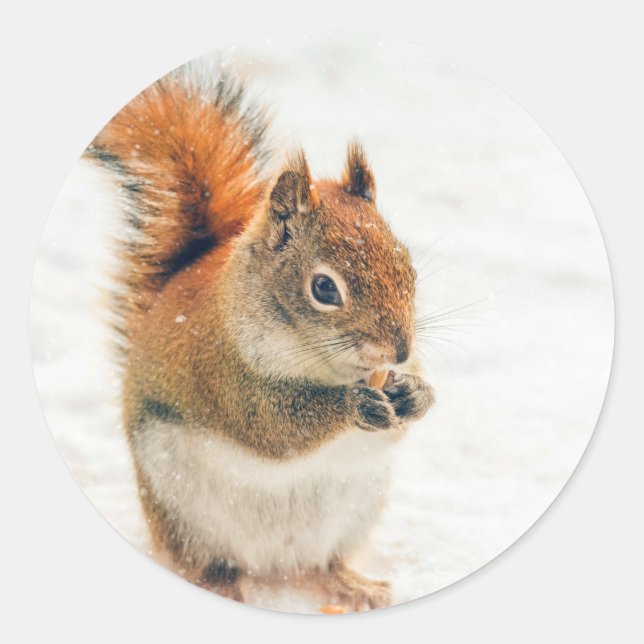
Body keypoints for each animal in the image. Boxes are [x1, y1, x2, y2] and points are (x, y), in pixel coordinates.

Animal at [86, 63, 434, 612]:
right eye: (323, 288)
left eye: (408, 267)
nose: (399, 350)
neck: (325, 365)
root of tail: (276, 563)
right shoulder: (223, 369)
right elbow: (272, 425)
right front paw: (353, 406)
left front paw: (416, 393)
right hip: (185, 513)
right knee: (209, 562)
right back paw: (221, 584)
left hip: (353, 511)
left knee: (323, 564)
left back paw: (351, 584)